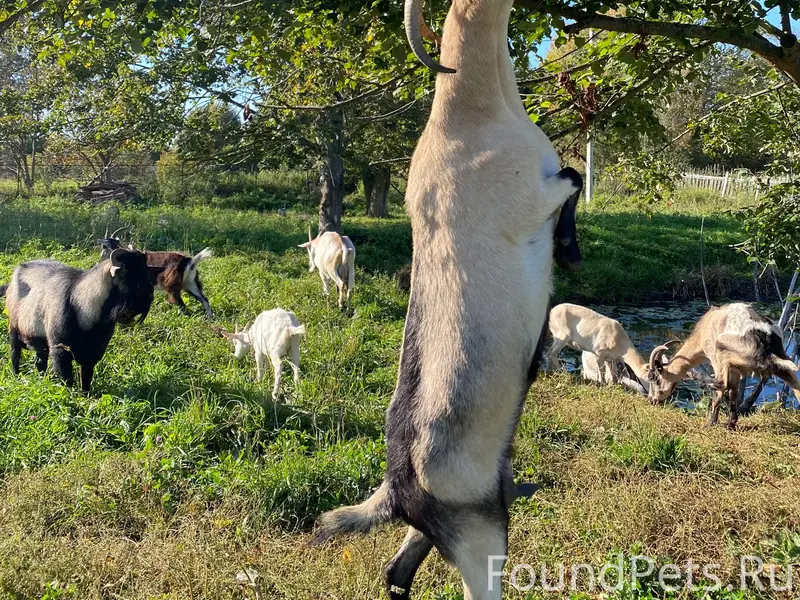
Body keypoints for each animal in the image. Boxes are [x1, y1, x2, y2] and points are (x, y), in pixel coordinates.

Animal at [1, 249, 157, 392]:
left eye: (145, 268)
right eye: (126, 270)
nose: (149, 295)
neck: (80, 302)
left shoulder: (94, 352)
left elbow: (86, 377)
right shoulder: (60, 349)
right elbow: (67, 378)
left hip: (41, 343)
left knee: (40, 362)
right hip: (13, 331)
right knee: (15, 356)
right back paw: (16, 375)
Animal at [312, 1, 584, 598]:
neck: (468, 117)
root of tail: (393, 490)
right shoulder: (538, 194)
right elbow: (574, 178)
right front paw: (570, 249)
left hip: (469, 516)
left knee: (396, 571)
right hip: (480, 537)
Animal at [648, 303, 800, 429]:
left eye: (656, 379)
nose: (652, 400)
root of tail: (764, 335)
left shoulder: (715, 358)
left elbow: (724, 388)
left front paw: (713, 422)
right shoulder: (736, 369)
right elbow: (734, 392)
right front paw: (731, 423)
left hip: (723, 350)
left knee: (721, 383)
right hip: (781, 360)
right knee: (793, 383)